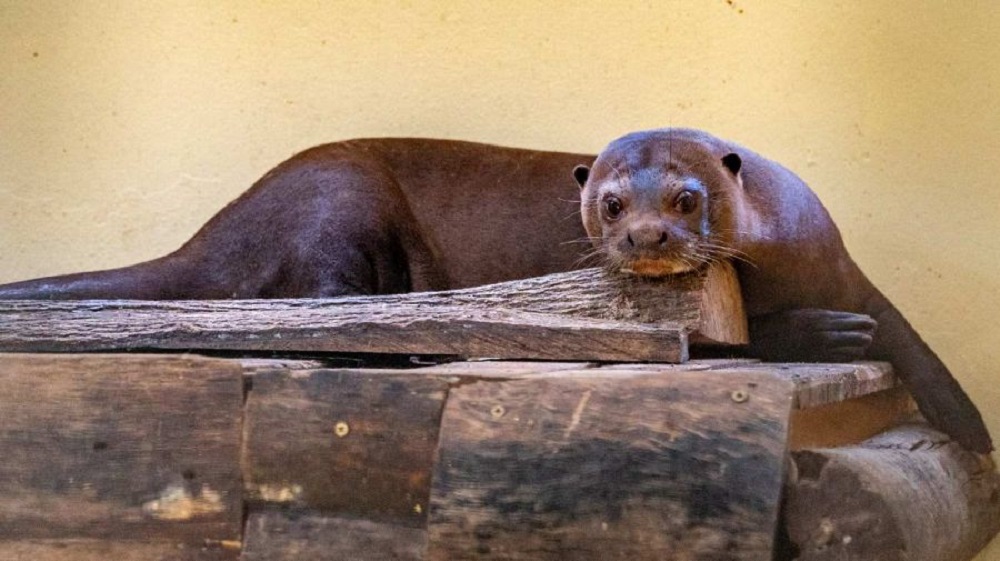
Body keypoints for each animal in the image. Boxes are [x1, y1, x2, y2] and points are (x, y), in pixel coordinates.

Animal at [0, 128, 984, 450]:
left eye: (688, 197)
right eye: (609, 202)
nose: (647, 235)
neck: (784, 268)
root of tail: (217, 225)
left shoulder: (842, 260)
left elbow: (910, 335)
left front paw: (968, 426)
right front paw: (833, 335)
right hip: (339, 196)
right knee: (311, 306)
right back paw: (410, 345)